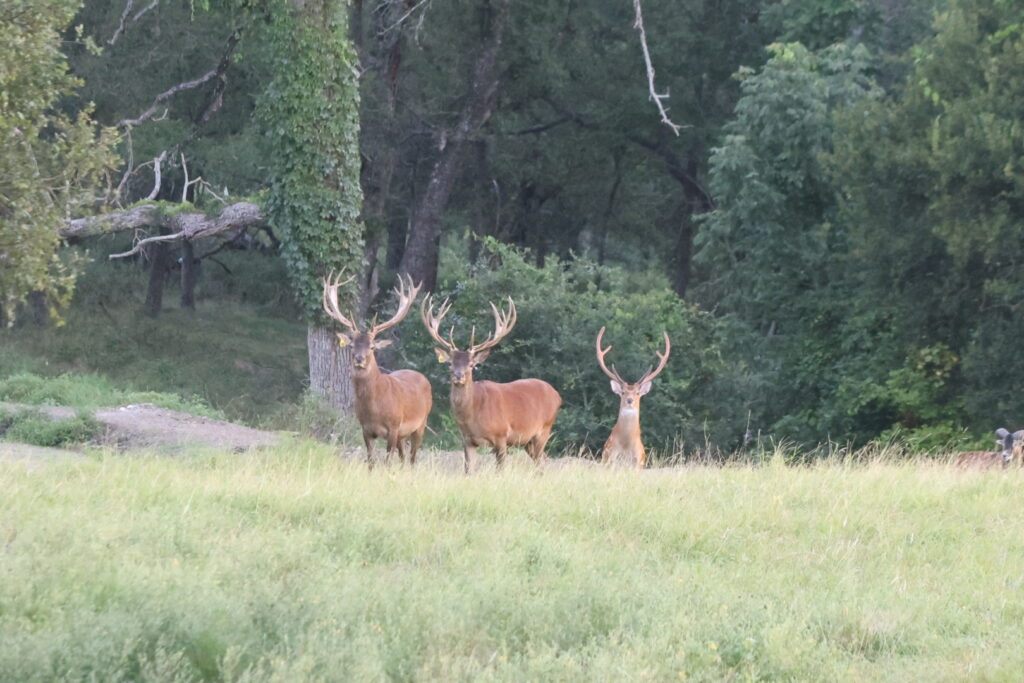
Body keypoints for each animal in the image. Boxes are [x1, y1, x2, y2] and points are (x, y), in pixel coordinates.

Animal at [322, 272, 432, 468]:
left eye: (372, 346)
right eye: (351, 345)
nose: (359, 359)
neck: (374, 409)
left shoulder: (394, 427)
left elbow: (387, 461)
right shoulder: (365, 429)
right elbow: (371, 461)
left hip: (421, 423)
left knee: (413, 458)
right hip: (404, 434)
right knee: (403, 457)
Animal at [420, 295, 561, 473]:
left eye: (471, 365)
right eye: (450, 363)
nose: (458, 376)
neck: (473, 416)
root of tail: (557, 395)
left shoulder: (502, 435)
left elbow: (500, 470)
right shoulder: (467, 440)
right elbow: (467, 471)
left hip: (544, 429)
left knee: (541, 461)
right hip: (527, 440)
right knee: (542, 461)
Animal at [595, 326, 671, 470]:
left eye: (637, 393)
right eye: (623, 392)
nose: (630, 400)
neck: (626, 447)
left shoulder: (638, 464)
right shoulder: (610, 460)